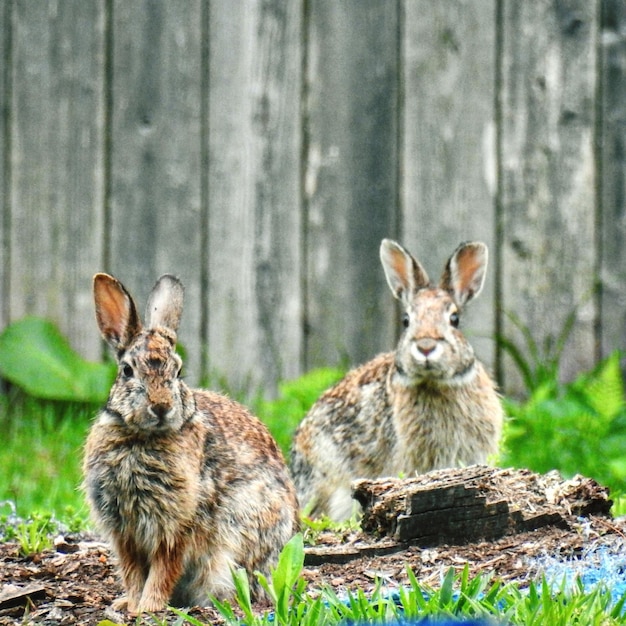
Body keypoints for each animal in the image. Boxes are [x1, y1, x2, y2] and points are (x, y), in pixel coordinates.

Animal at [83, 272, 298, 608]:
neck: (142, 437)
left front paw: (148, 607)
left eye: (178, 371)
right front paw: (131, 605)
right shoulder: (124, 531)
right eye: (127, 370)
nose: (161, 407)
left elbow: (163, 568)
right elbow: (132, 572)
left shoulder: (179, 525)